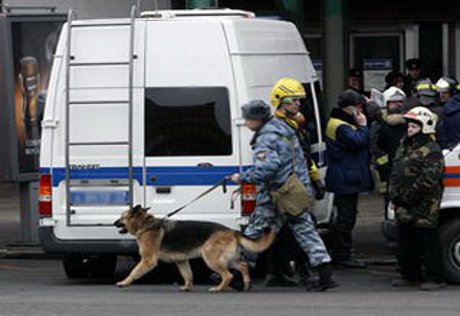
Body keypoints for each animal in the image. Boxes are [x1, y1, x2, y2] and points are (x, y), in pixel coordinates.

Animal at [114, 205, 274, 292]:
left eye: (121, 217)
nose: (114, 222)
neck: (145, 225)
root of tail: (231, 231)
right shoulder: (181, 261)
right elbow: (187, 275)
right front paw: (187, 287)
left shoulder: (148, 260)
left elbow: (134, 272)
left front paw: (124, 282)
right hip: (227, 259)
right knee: (243, 265)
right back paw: (246, 283)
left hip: (210, 258)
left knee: (228, 275)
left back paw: (218, 288)